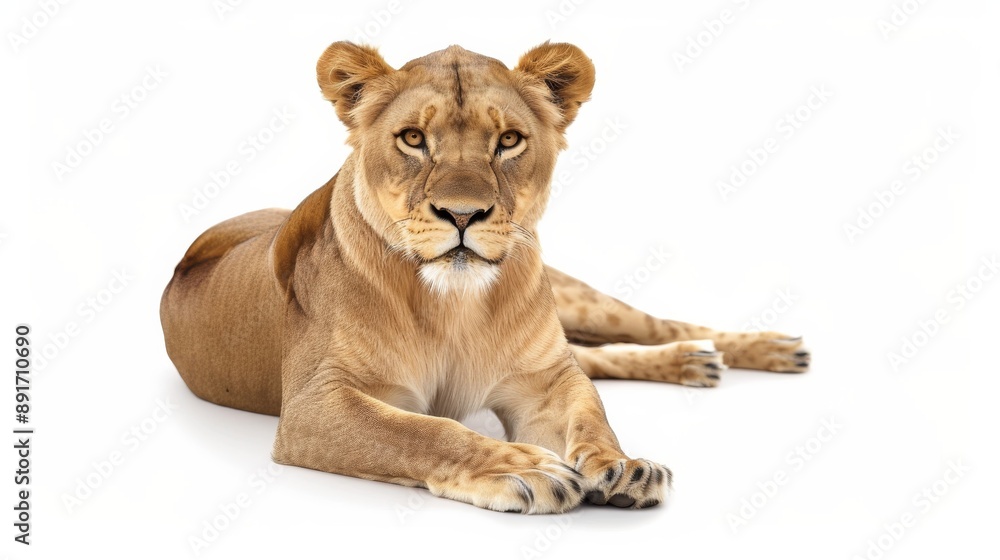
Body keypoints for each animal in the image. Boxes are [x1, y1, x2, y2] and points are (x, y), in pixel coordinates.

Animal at [160, 41, 809, 514]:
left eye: (509, 140)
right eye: (413, 139)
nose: (463, 213)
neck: (454, 304)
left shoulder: (545, 379)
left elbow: (591, 414)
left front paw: (621, 465)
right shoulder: (314, 404)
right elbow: (426, 433)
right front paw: (524, 467)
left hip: (582, 303)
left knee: (650, 328)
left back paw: (759, 350)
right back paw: (697, 362)